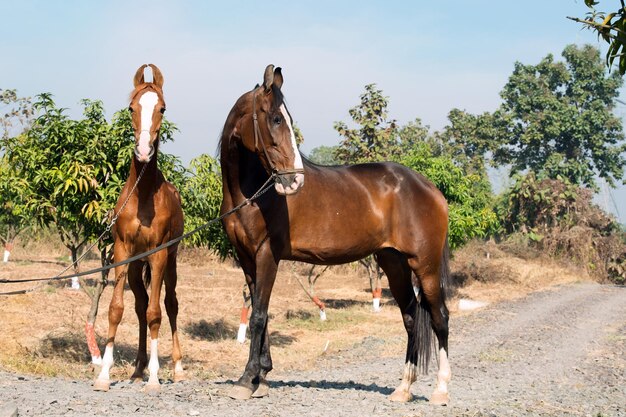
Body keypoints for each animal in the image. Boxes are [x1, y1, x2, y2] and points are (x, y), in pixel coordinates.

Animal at [92, 63, 185, 392]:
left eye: (162, 108)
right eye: (131, 107)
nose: (144, 151)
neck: (142, 194)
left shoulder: (158, 254)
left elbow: (156, 312)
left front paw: (155, 378)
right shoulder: (122, 252)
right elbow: (117, 309)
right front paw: (104, 375)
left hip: (171, 260)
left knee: (169, 304)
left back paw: (177, 368)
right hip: (135, 266)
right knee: (140, 305)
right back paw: (137, 370)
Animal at [218, 65, 448, 404]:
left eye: (285, 118)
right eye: (275, 119)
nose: (294, 181)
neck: (251, 193)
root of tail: (431, 188)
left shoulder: (267, 255)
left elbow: (258, 314)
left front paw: (248, 380)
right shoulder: (247, 258)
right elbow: (263, 311)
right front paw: (262, 375)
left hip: (425, 264)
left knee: (439, 317)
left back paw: (441, 389)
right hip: (394, 263)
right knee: (410, 317)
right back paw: (403, 388)